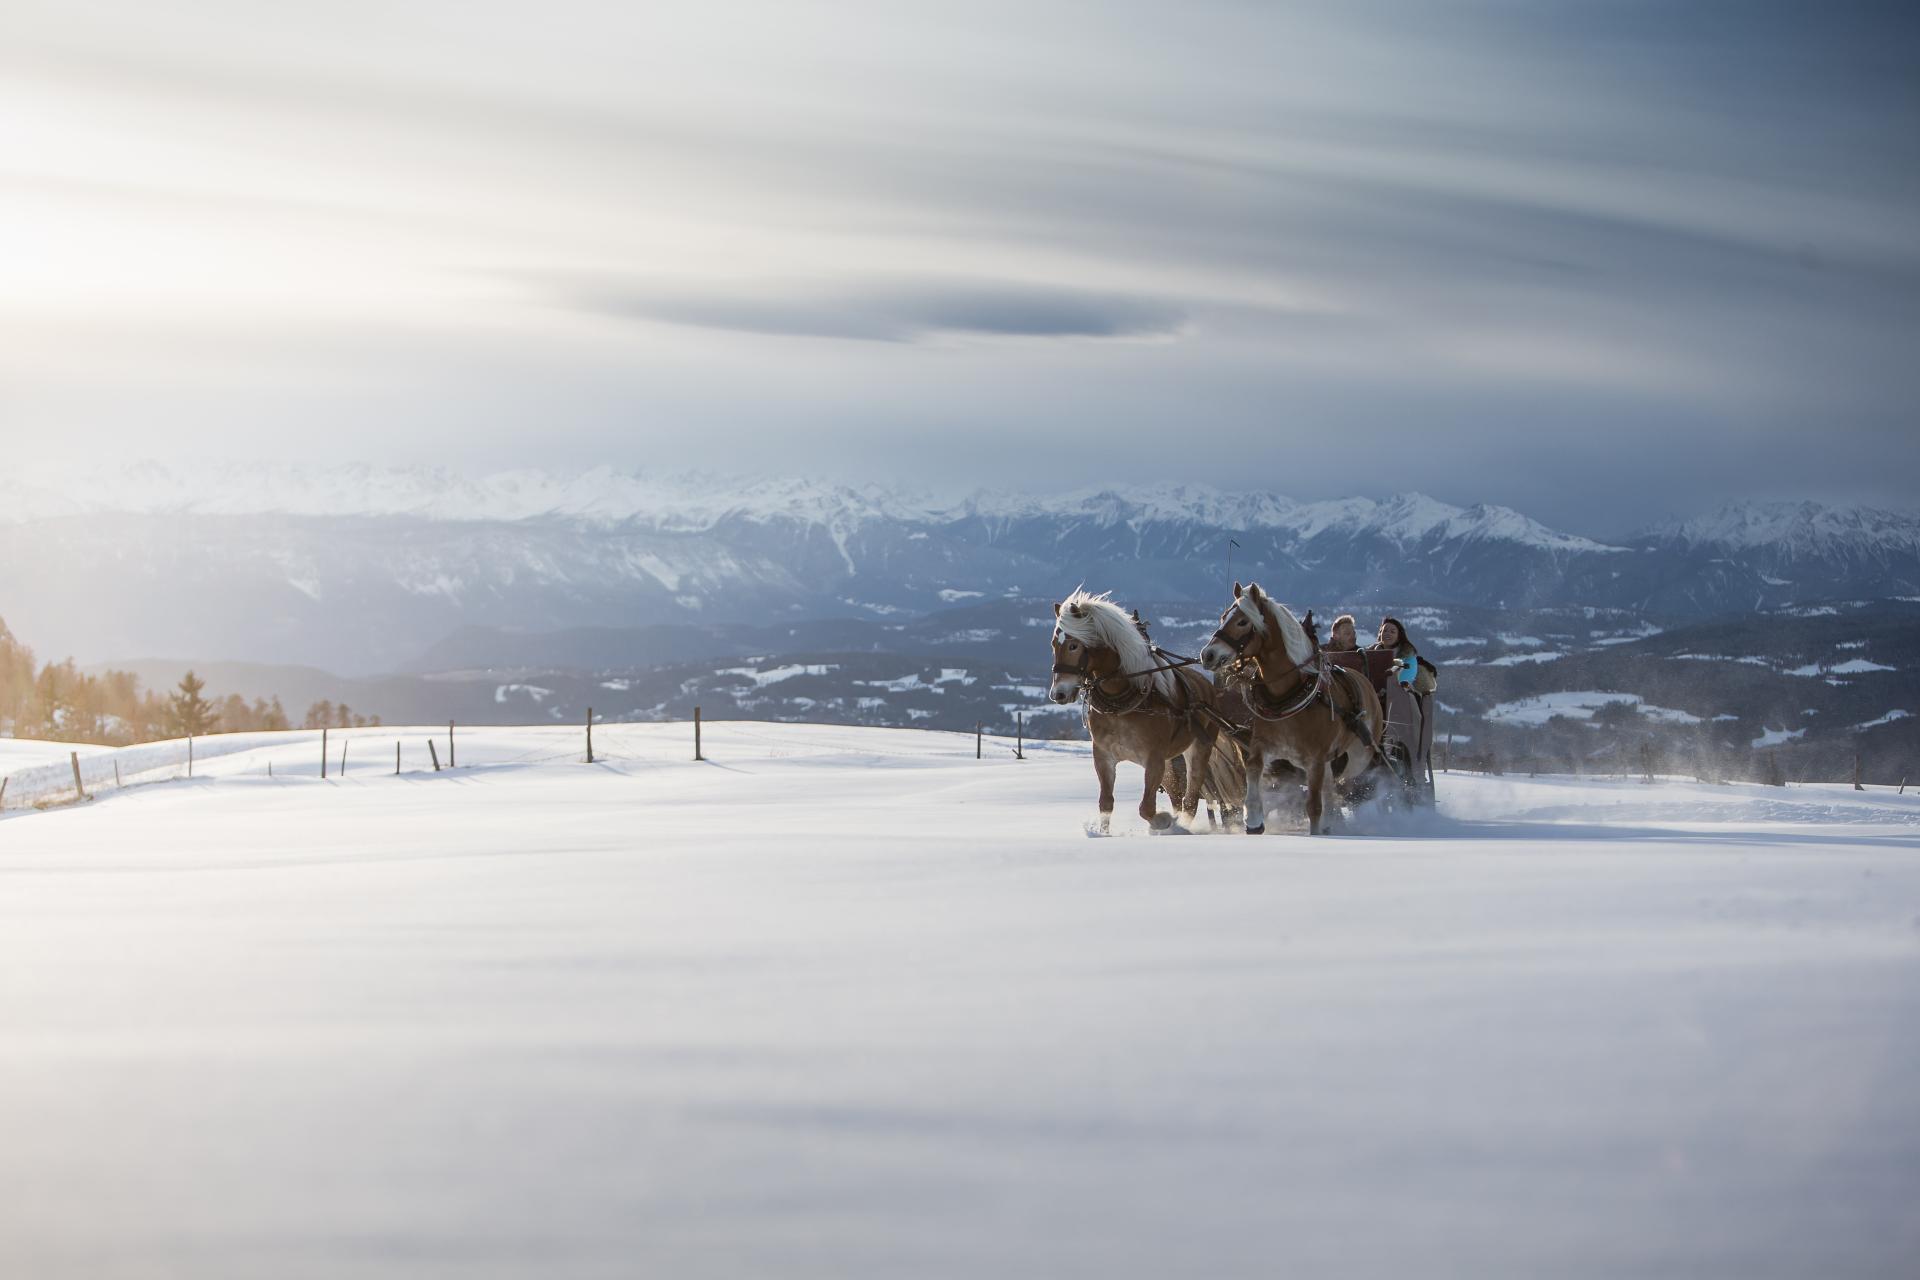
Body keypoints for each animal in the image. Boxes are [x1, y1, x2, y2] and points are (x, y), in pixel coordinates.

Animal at [1052, 587, 1244, 832]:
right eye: (1053, 644)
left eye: (1073, 645)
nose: (1058, 693)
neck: (1121, 703)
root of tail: (1206, 686)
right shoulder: (1103, 755)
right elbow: (1106, 803)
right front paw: (1102, 833)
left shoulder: (1154, 759)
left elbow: (1146, 808)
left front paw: (1163, 821)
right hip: (1172, 764)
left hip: (1199, 749)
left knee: (1190, 799)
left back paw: (1180, 826)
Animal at [1198, 583, 1382, 840]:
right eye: (1224, 617)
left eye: (1243, 621)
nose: (1208, 654)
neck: (1287, 695)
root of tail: (1362, 678)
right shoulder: (1264, 745)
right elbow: (1253, 768)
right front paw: (1253, 819)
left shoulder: (1315, 758)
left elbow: (1313, 806)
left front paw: (1315, 833)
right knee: (1330, 789)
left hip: (1358, 757)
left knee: (1352, 786)